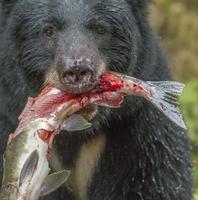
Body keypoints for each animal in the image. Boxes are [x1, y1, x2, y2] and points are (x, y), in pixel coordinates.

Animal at [0, 0, 193, 200]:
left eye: (100, 28)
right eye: (48, 30)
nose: (77, 70)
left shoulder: (142, 132)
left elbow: (158, 182)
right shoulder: (6, 119)